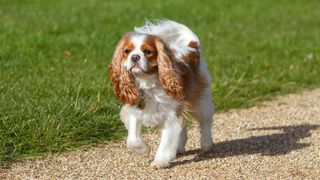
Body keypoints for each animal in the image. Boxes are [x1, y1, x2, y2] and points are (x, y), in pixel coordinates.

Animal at [108, 19, 215, 168]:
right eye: (127, 51)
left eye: (147, 51)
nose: (134, 57)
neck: (147, 83)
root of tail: (192, 47)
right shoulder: (134, 111)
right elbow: (132, 139)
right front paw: (143, 150)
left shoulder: (170, 115)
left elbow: (166, 142)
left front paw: (160, 161)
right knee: (183, 127)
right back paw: (180, 148)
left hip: (199, 101)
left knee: (205, 121)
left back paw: (206, 144)